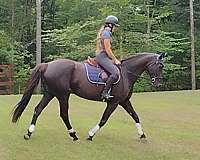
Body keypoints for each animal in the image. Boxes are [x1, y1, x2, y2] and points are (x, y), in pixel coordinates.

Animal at [12, 52, 166, 141]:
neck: (125, 73)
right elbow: (104, 119)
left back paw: (29, 133)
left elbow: (135, 116)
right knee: (63, 114)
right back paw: (73, 134)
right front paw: (91, 134)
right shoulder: (114, 102)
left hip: (50, 94)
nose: (158, 83)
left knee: (38, 109)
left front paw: (142, 135)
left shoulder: (124, 101)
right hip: (62, 95)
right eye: (160, 66)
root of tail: (47, 65)